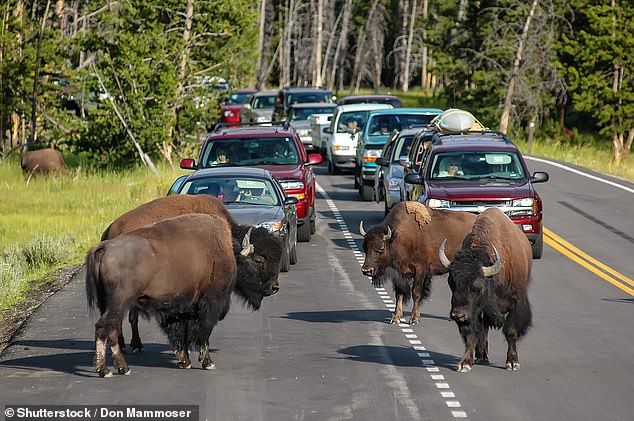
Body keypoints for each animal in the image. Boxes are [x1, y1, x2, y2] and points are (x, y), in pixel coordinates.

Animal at [84, 212, 272, 376]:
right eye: (254, 263)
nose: (268, 290)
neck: (221, 250)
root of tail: (104, 247)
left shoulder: (181, 308)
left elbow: (181, 333)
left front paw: (185, 361)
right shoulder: (209, 304)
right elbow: (203, 333)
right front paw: (207, 362)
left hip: (108, 305)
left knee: (109, 330)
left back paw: (114, 368)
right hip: (118, 304)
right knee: (105, 329)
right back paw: (112, 370)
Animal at [436, 207, 532, 370]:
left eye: (478, 284)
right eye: (451, 282)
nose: (458, 315)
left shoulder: (517, 302)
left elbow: (511, 331)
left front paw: (512, 362)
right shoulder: (474, 312)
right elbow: (472, 334)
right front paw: (465, 363)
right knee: (484, 330)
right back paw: (482, 357)